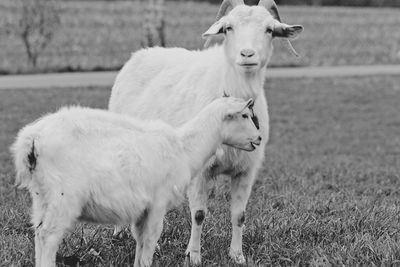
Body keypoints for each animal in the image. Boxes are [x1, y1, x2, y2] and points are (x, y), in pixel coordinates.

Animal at [10, 97, 260, 267]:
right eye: (244, 116)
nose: (258, 138)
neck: (183, 147)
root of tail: (31, 139)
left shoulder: (142, 210)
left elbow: (140, 242)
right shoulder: (158, 203)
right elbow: (150, 240)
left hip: (42, 196)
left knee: (38, 232)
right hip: (63, 196)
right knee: (48, 235)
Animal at [109, 0, 304, 264]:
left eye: (269, 30)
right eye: (228, 28)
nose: (247, 54)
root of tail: (141, 54)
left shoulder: (246, 170)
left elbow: (240, 214)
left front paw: (237, 255)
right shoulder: (200, 171)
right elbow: (199, 214)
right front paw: (193, 256)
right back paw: (123, 234)